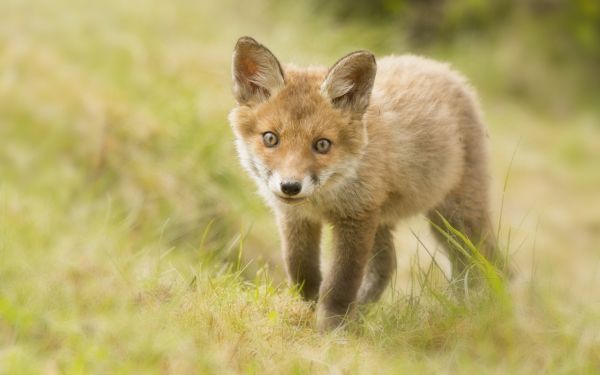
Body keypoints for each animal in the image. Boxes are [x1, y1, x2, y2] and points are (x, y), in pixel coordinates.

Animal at [227, 36, 508, 330]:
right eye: (271, 138)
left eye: (322, 145)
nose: (290, 186)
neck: (324, 198)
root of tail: (442, 68)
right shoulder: (296, 217)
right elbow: (302, 270)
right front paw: (307, 310)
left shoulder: (356, 217)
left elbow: (341, 283)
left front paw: (332, 328)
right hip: (387, 220)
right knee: (388, 264)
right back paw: (363, 312)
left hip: (456, 218)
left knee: (484, 261)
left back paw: (483, 308)